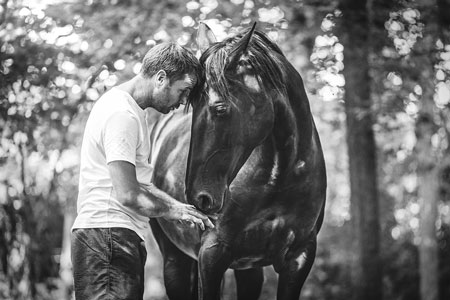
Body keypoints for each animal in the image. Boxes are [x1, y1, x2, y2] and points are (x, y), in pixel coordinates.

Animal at [149, 24, 326, 300]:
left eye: (220, 109)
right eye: (192, 106)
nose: (199, 198)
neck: (281, 177)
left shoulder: (300, 257)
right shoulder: (212, 254)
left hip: (248, 268)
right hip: (175, 261)